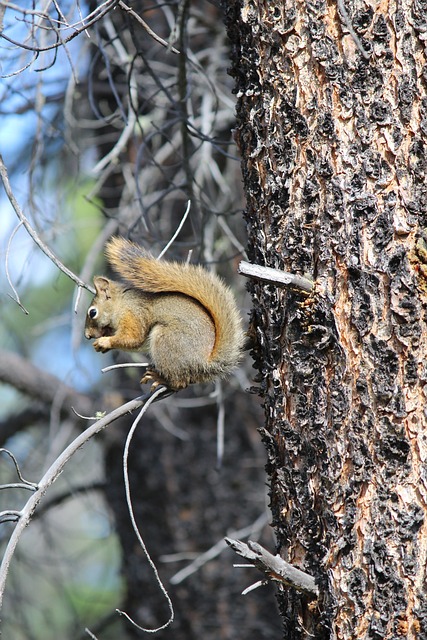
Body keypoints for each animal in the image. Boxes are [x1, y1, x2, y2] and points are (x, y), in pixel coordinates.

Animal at [84, 236, 244, 390]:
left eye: (93, 312)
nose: (87, 336)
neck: (121, 304)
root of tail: (203, 363)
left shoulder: (133, 314)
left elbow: (133, 338)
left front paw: (105, 342)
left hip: (167, 340)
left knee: (179, 383)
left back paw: (161, 379)